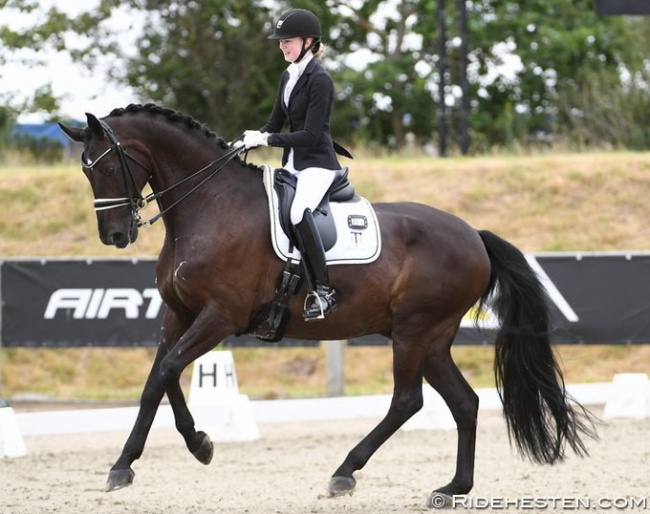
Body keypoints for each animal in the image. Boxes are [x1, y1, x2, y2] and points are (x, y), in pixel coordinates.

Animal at [58, 103, 596, 504]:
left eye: (109, 166)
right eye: (86, 172)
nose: (116, 236)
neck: (209, 205)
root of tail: (474, 236)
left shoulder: (219, 318)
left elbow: (167, 370)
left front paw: (189, 448)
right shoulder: (179, 315)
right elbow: (158, 379)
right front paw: (138, 461)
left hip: (415, 331)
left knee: (408, 401)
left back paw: (345, 472)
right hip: (433, 338)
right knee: (463, 402)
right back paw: (452, 488)